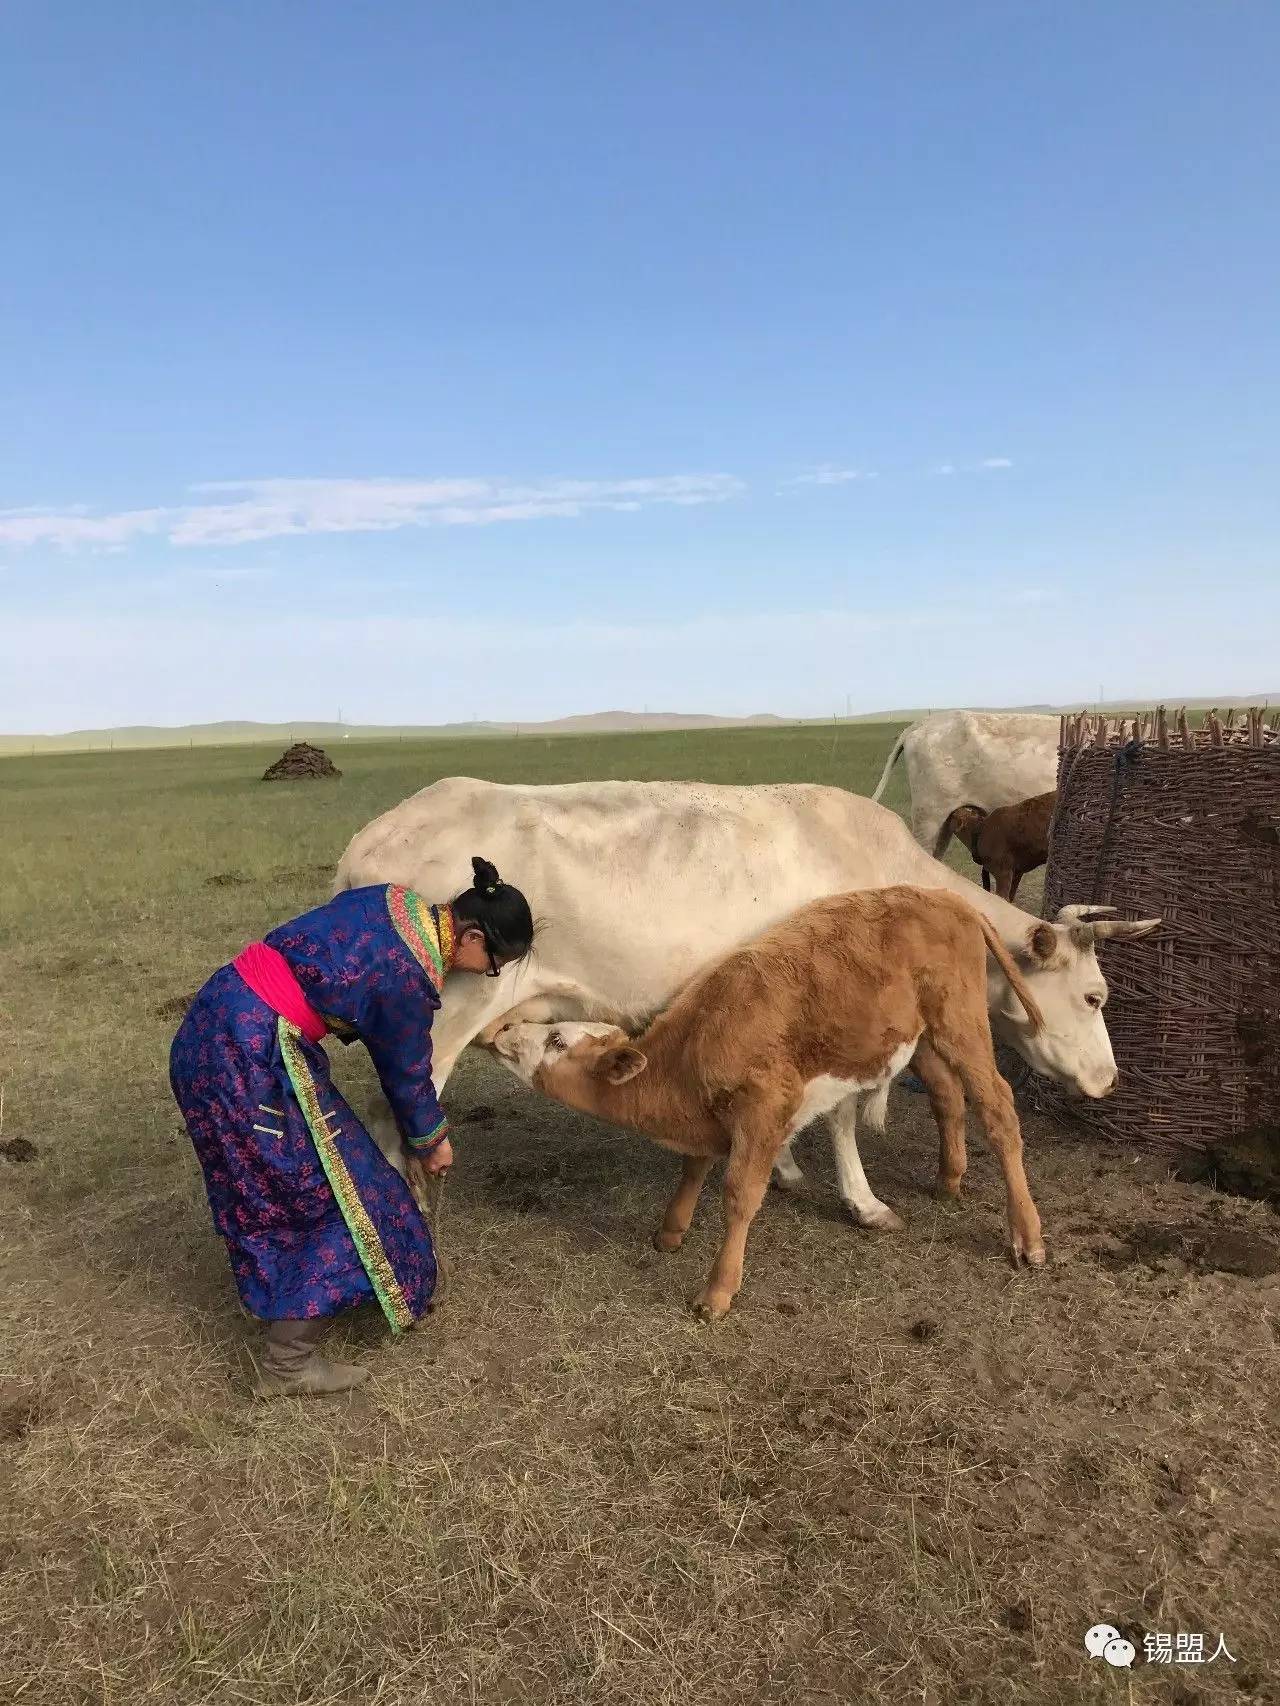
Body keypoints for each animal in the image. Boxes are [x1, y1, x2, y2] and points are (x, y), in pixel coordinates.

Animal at [494, 887, 1044, 1323]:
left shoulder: (764, 1107)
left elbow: (739, 1195)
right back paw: (949, 1180)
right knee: (947, 1095)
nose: (504, 1033)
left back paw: (1028, 1237)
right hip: (924, 1036)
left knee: (998, 1108)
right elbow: (694, 1166)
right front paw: (671, 1231)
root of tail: (945, 896)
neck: (696, 1044)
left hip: (962, 1023)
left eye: (558, 1040)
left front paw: (717, 1292)